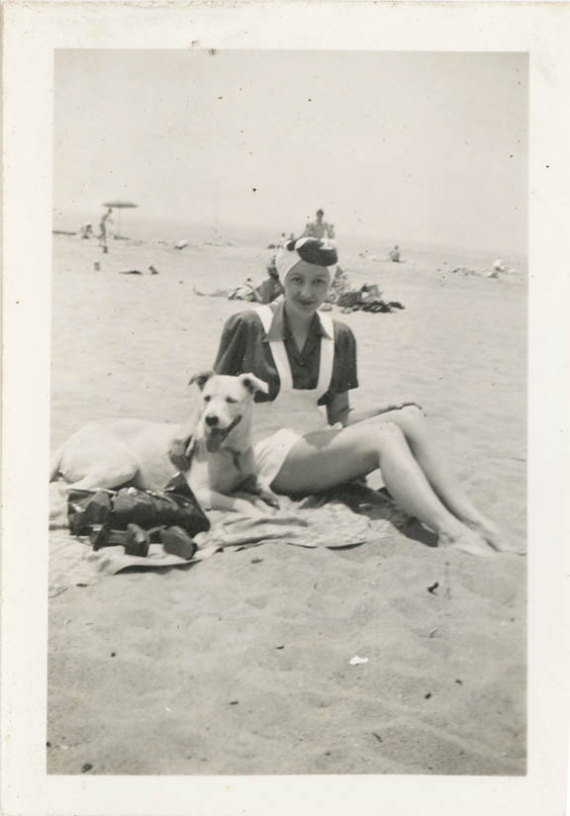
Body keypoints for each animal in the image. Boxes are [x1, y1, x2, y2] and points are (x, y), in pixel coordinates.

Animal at [50, 372, 276, 524]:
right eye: (207, 398)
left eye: (231, 400)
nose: (210, 419)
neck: (230, 451)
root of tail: (70, 440)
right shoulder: (202, 493)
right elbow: (242, 501)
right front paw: (260, 513)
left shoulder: (246, 478)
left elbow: (260, 485)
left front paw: (268, 498)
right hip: (123, 465)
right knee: (66, 489)